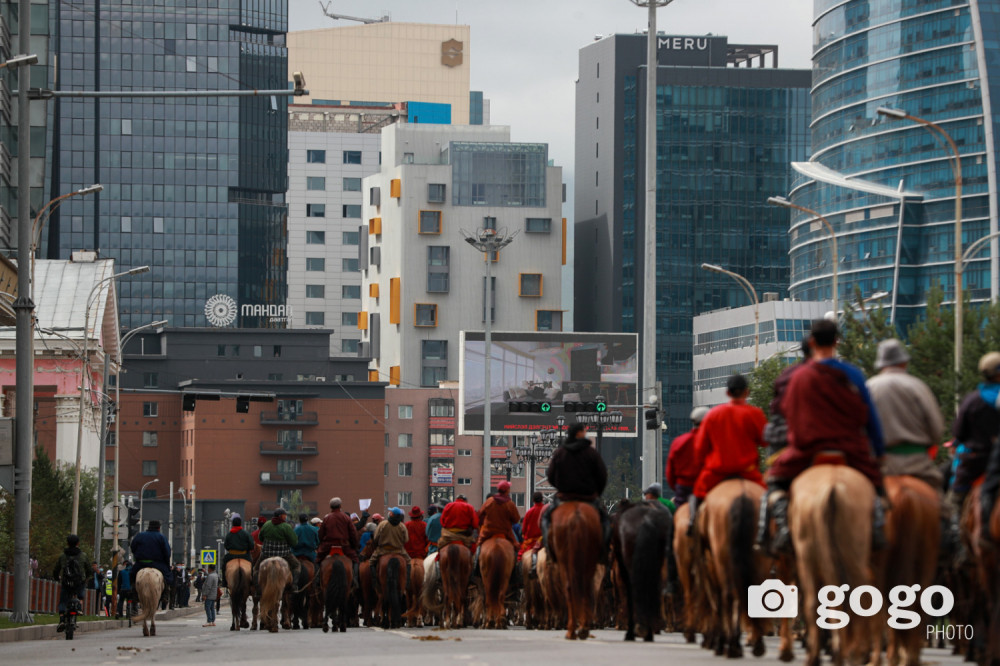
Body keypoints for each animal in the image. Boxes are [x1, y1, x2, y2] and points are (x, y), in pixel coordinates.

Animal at [696, 480, 772, 656]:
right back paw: (752, 644)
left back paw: (728, 645)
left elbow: (717, 601)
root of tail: (742, 496)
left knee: (727, 595)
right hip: (758, 560)